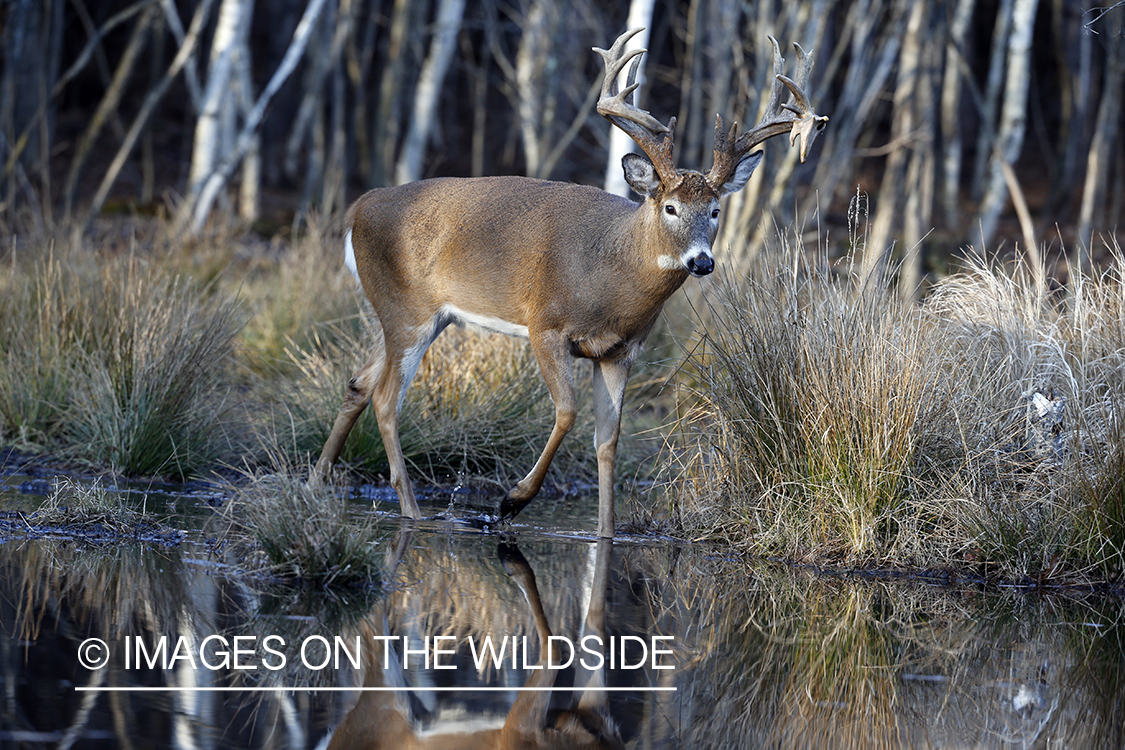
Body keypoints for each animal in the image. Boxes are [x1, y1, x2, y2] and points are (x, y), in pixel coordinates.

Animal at [308, 27, 828, 532]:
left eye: (716, 209)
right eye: (670, 207)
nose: (701, 262)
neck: (611, 281)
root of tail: (359, 208)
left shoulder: (621, 351)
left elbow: (607, 442)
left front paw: (606, 532)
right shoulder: (546, 325)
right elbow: (567, 411)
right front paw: (511, 501)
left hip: (417, 316)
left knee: (359, 382)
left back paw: (316, 483)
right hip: (407, 310)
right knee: (386, 399)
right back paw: (412, 512)